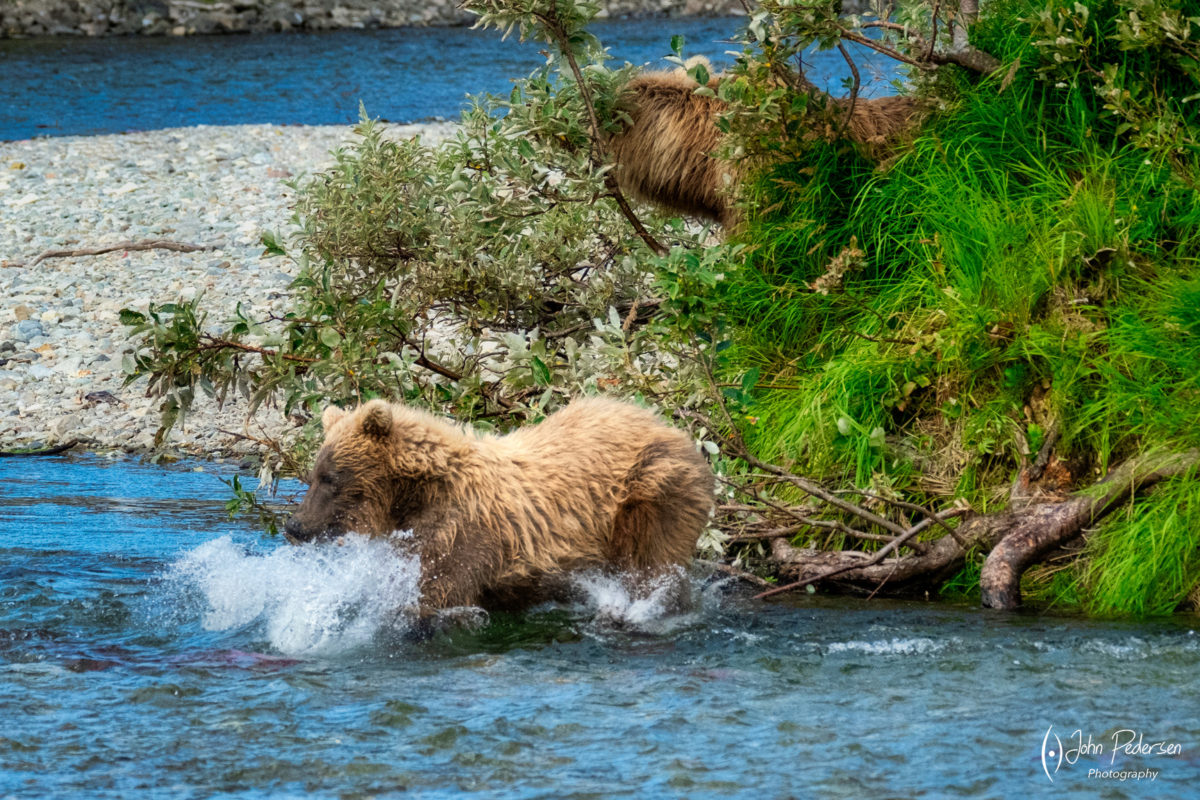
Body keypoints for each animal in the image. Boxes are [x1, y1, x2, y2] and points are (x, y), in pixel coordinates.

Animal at [283, 397, 715, 613]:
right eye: (314, 474)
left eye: (330, 478)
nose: (294, 526)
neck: (413, 498)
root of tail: (668, 424)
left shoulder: (463, 535)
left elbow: (440, 593)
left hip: (650, 496)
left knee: (651, 564)